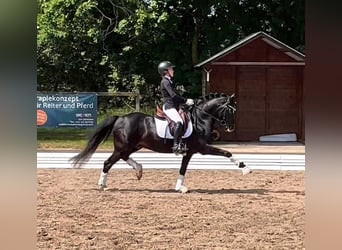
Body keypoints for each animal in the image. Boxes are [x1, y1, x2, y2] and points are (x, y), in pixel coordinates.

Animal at [70, 93, 251, 192]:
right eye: (231, 111)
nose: (231, 128)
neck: (200, 119)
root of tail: (120, 118)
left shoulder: (189, 151)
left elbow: (183, 169)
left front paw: (180, 187)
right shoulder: (202, 148)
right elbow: (226, 152)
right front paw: (245, 168)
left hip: (132, 146)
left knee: (122, 158)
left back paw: (138, 169)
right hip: (124, 147)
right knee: (108, 162)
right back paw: (102, 185)